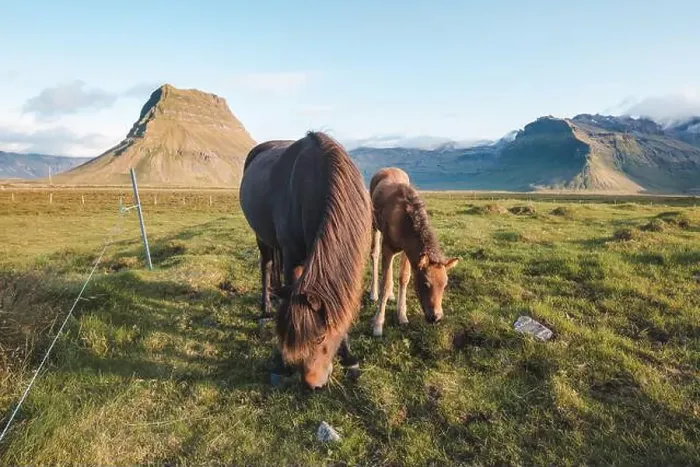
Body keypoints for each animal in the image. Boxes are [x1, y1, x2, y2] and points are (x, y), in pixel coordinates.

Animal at [239, 131, 372, 389]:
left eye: (321, 337)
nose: (312, 384)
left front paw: (349, 358)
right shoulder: (292, 256)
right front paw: (280, 364)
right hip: (262, 237)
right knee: (266, 267)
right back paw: (266, 308)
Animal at [368, 167, 459, 337]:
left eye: (445, 285)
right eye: (426, 283)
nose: (436, 317)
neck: (404, 220)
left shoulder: (407, 251)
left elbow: (404, 278)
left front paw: (402, 316)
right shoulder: (387, 248)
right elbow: (385, 284)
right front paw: (377, 324)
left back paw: (392, 295)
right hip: (374, 226)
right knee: (374, 255)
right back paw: (373, 294)